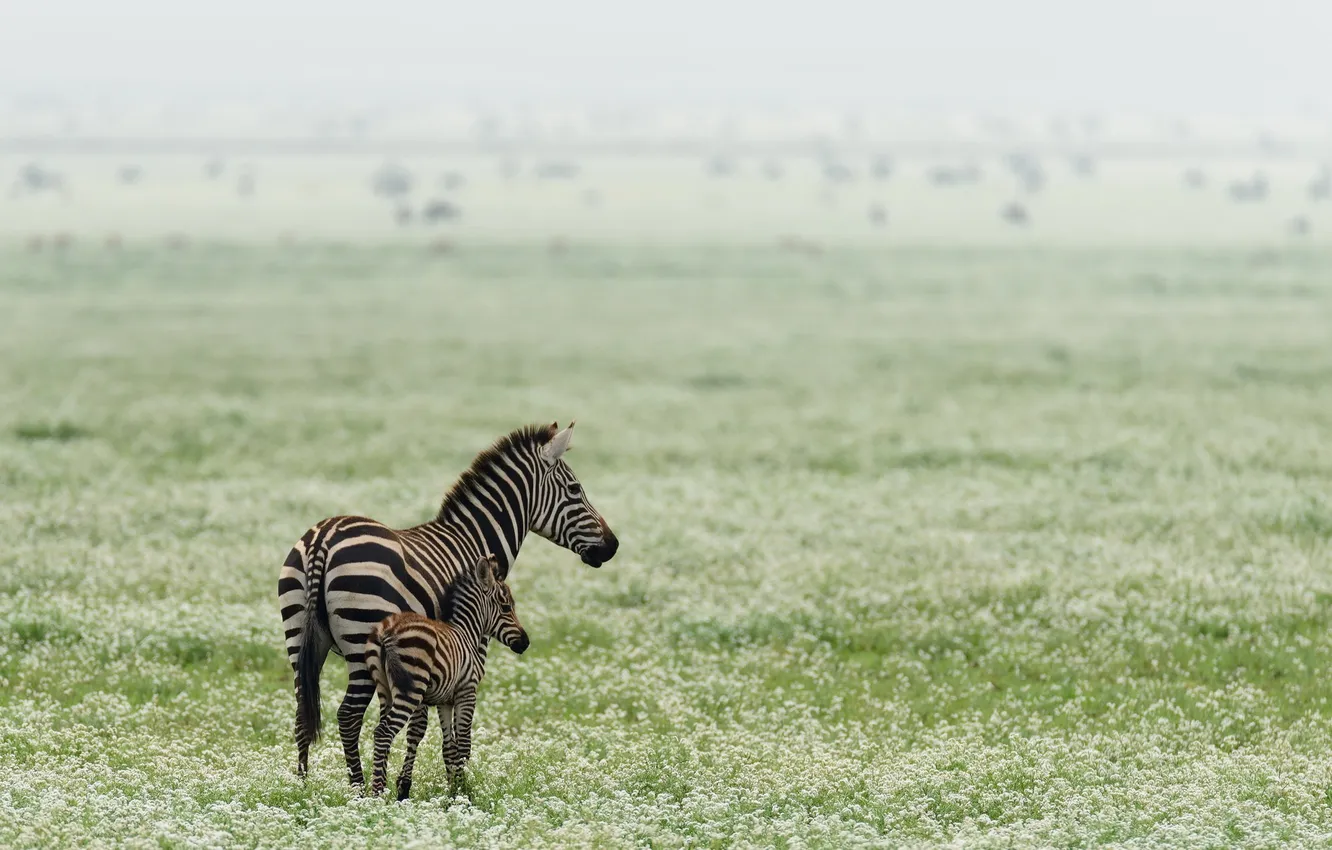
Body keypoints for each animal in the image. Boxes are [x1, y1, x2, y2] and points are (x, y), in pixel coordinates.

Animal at [364, 552, 527, 800]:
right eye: (506, 607)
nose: (526, 643)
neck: (467, 633)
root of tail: (387, 631)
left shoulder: (445, 701)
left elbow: (449, 746)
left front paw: (454, 788)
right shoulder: (467, 692)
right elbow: (464, 744)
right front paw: (465, 791)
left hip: (384, 688)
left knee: (379, 731)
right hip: (410, 690)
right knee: (384, 732)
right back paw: (378, 794)